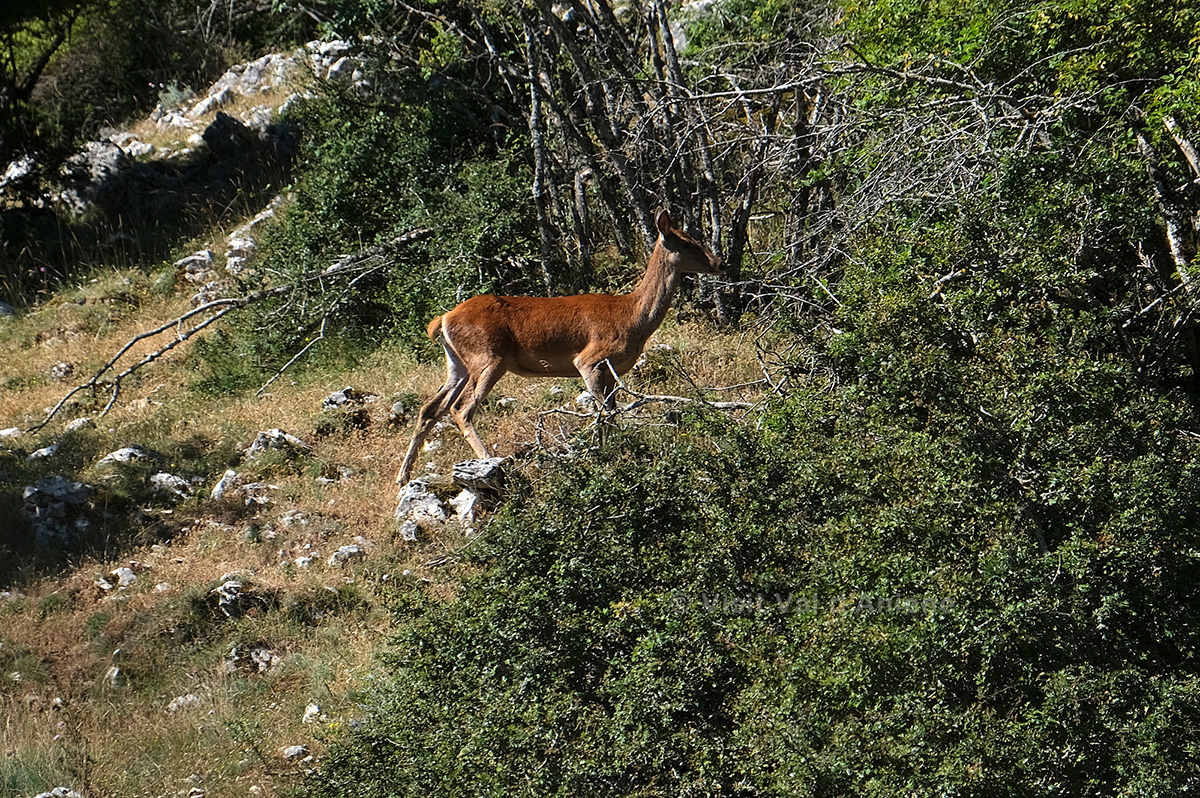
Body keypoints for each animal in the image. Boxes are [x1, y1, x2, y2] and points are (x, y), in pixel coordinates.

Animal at [396, 209, 722, 485]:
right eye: (689, 243)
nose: (719, 263)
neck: (632, 316)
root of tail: (444, 319)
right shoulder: (590, 359)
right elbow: (604, 413)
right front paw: (610, 453)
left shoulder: (612, 371)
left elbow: (611, 413)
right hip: (488, 357)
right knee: (460, 409)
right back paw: (490, 462)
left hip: (458, 364)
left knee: (429, 408)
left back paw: (403, 477)